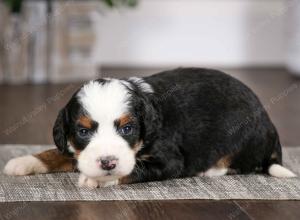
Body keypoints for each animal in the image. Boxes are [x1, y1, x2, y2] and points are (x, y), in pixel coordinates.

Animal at [3, 67, 296, 187]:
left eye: (127, 129)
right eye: (83, 131)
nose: (107, 162)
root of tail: (270, 125)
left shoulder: (170, 160)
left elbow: (135, 169)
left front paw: (98, 178)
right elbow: (58, 152)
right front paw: (23, 161)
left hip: (240, 136)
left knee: (243, 164)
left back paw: (212, 169)